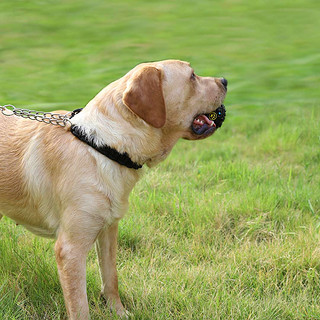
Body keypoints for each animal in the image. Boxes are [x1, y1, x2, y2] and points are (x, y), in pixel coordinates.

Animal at [0, 59, 228, 318]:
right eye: (192, 76)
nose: (225, 80)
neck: (103, 147)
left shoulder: (109, 230)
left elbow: (111, 277)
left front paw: (118, 312)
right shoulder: (70, 249)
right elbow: (79, 306)